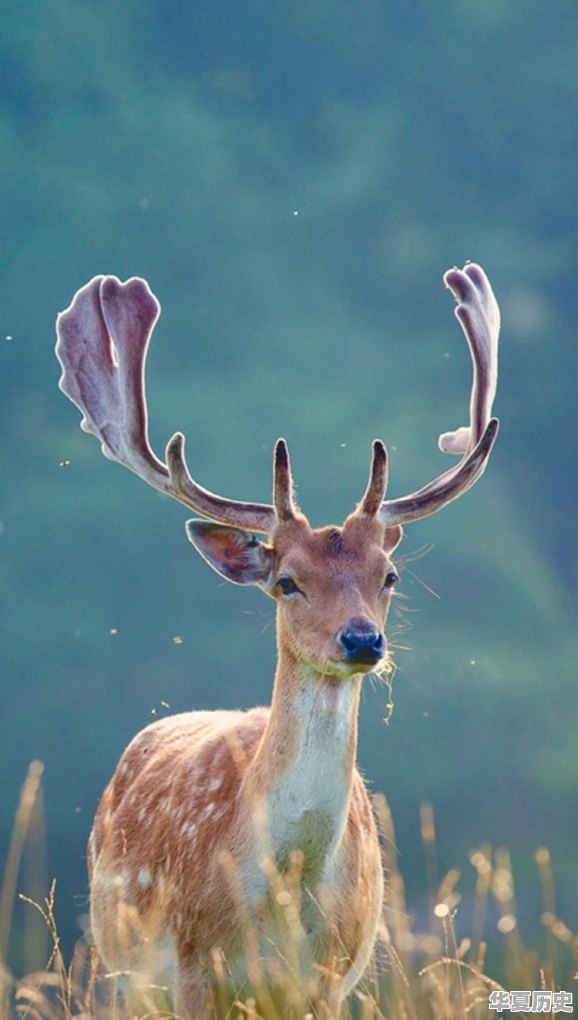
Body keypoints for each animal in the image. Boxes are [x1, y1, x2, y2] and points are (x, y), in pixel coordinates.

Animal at [56, 261, 499, 1011]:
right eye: (287, 581)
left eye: (389, 575)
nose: (362, 641)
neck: (283, 895)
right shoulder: (192, 967)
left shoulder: (330, 979)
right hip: (120, 971)